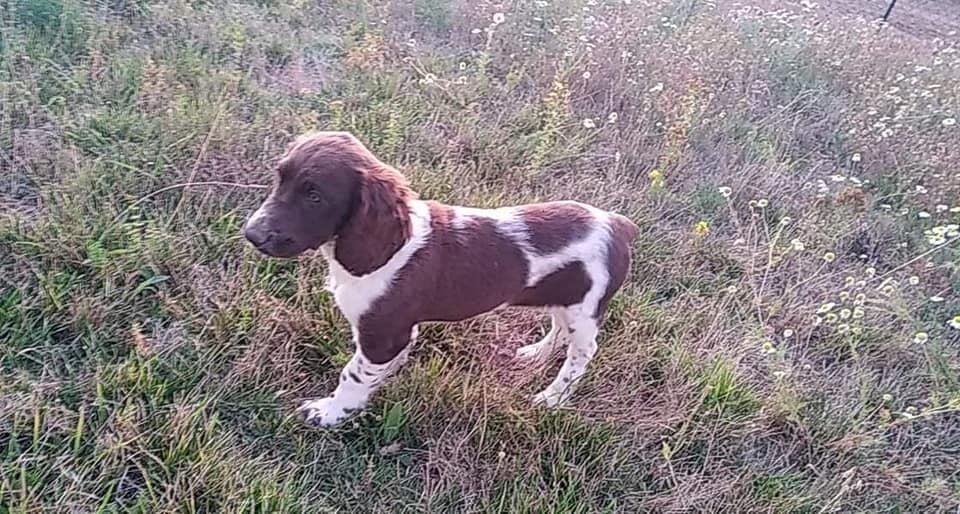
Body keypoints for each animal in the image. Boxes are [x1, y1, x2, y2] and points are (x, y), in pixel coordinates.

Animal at [244, 131, 636, 424]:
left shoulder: (382, 333)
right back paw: (533, 355)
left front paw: (331, 412)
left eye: (314, 196)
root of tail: (616, 223)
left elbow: (352, 375)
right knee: (558, 330)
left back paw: (552, 397)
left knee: (581, 353)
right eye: (279, 179)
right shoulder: (397, 334)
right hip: (564, 297)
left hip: (585, 309)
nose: (251, 235)